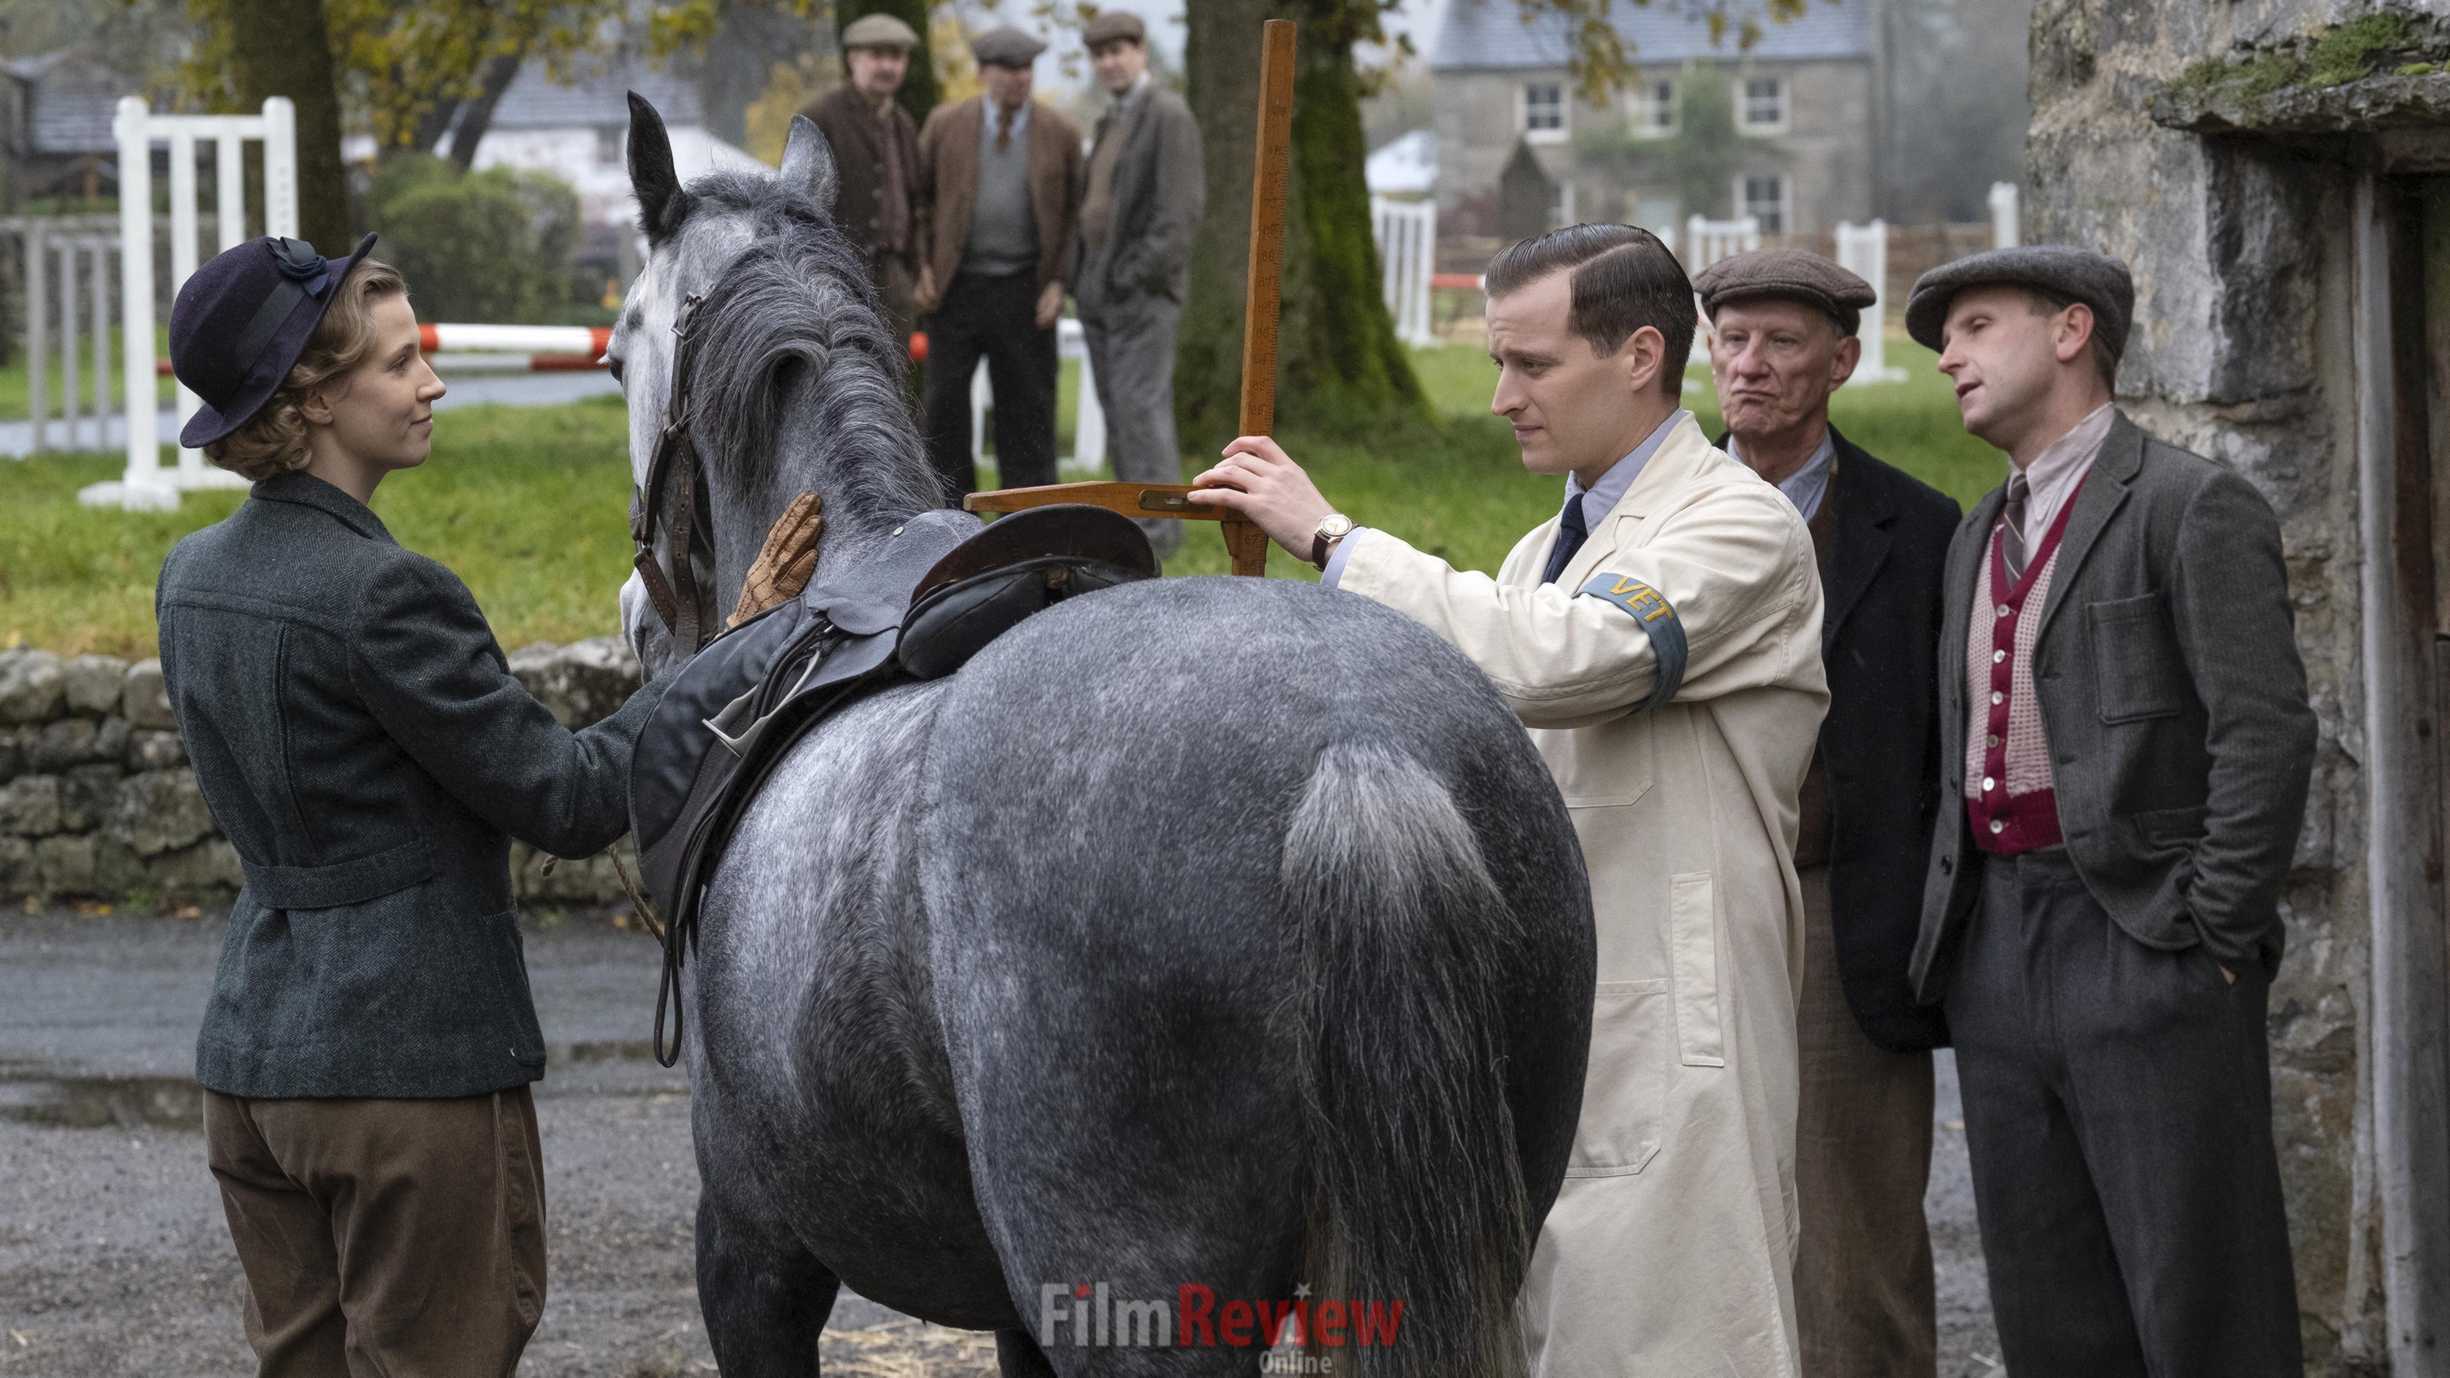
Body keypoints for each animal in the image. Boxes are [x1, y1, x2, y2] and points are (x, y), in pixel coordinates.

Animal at [610, 91, 1597, 1363]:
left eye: (617, 347)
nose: (639, 613)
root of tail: (1360, 753)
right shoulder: (1003, 1305)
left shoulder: (749, 1247)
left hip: (1131, 1296)